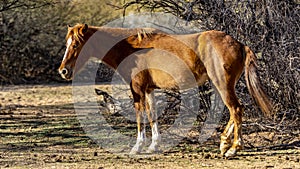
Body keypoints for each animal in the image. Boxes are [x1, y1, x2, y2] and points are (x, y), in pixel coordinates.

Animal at [59, 23, 274, 157]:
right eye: (67, 43)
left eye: (76, 44)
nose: (63, 71)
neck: (130, 49)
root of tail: (240, 44)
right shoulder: (149, 90)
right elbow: (152, 115)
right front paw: (153, 145)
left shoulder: (137, 90)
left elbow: (140, 117)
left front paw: (137, 147)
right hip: (220, 85)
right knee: (232, 110)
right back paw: (223, 144)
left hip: (222, 84)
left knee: (236, 109)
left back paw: (233, 148)